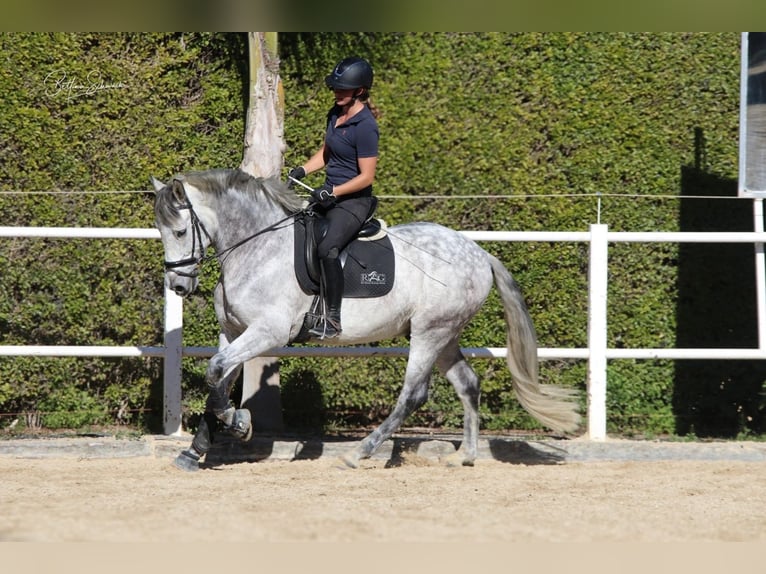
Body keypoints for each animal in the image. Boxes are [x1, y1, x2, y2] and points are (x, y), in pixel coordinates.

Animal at [152, 170, 584, 472]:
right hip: (444, 334)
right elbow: (218, 378)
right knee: (468, 384)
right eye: (161, 231)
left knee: (413, 394)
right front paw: (196, 450)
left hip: (429, 333)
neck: (257, 246)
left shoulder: (267, 332)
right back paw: (465, 456)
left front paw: (238, 423)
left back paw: (360, 453)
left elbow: (216, 372)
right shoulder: (234, 332)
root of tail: (479, 253)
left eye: (180, 231)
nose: (178, 285)